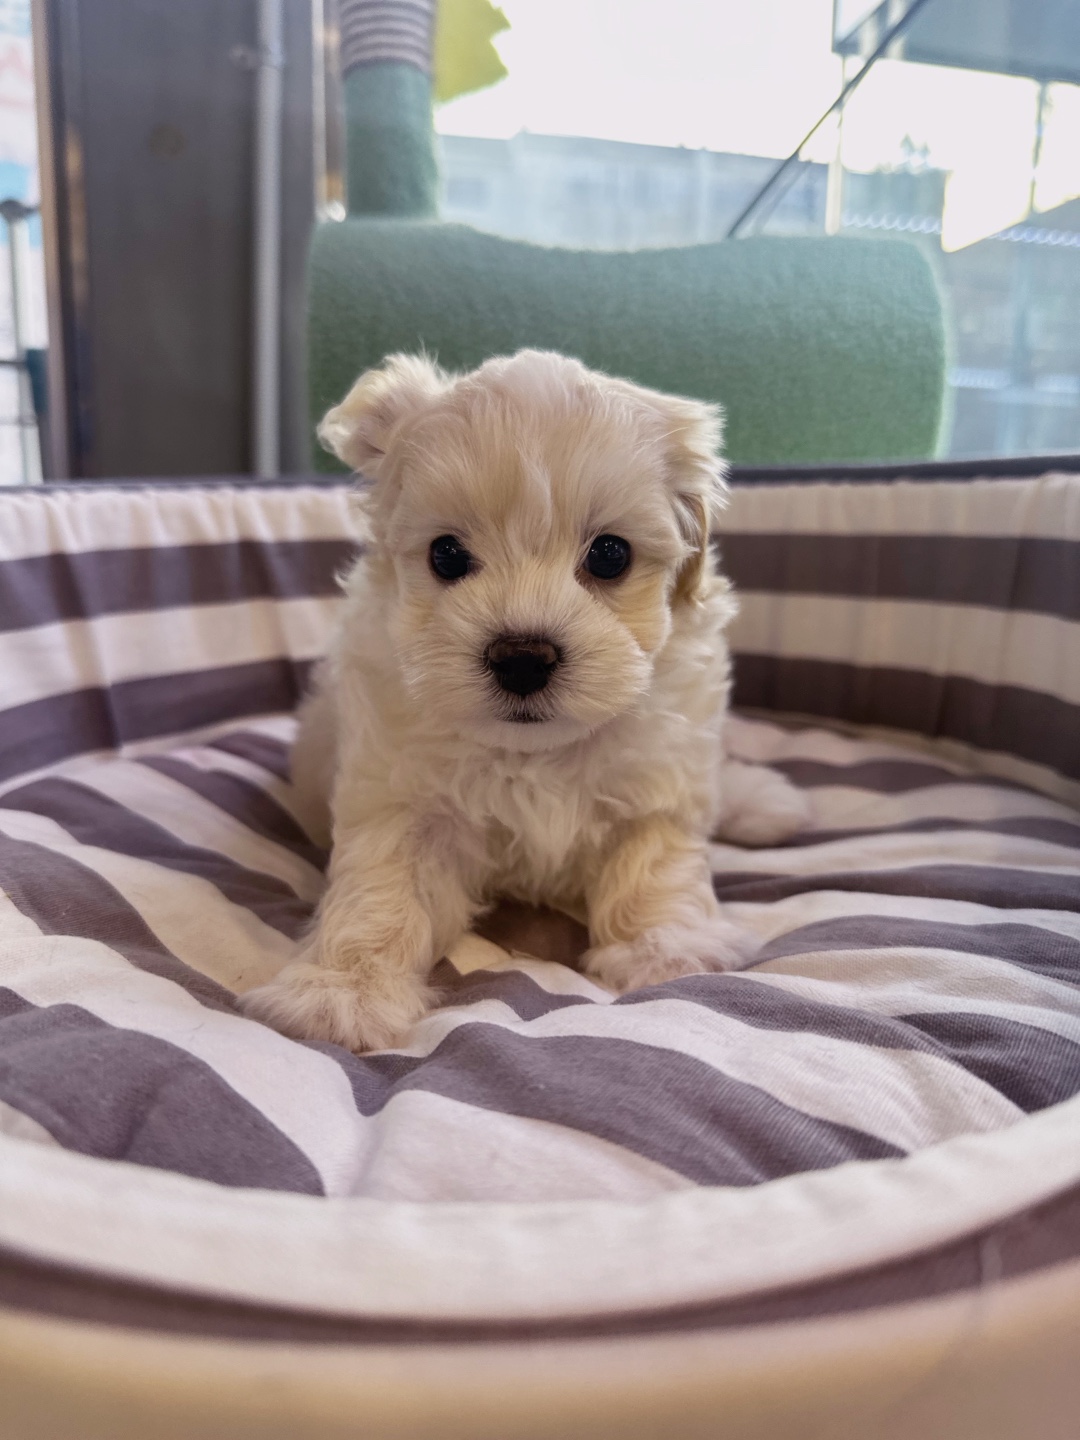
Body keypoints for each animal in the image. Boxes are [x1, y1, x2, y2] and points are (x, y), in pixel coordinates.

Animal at [241, 351, 808, 1052]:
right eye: (446, 554)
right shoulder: (402, 801)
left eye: (610, 554)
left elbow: (653, 864)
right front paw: (340, 992)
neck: (535, 751)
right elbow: (381, 890)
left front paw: (665, 947)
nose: (522, 658)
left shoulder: (658, 781)